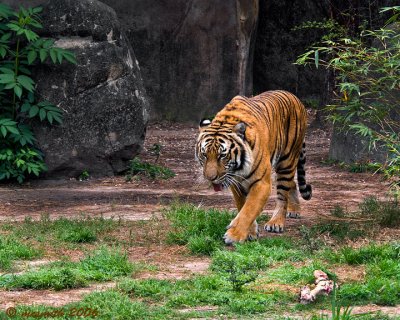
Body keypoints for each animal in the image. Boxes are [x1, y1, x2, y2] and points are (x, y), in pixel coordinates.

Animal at [195, 89, 310, 244]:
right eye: (204, 155)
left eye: (222, 156)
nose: (210, 178)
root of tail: (294, 97)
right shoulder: (236, 182)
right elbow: (243, 205)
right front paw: (251, 232)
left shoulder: (261, 183)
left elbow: (249, 209)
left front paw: (234, 235)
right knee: (292, 183)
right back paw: (295, 210)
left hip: (287, 161)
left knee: (282, 194)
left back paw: (276, 222)